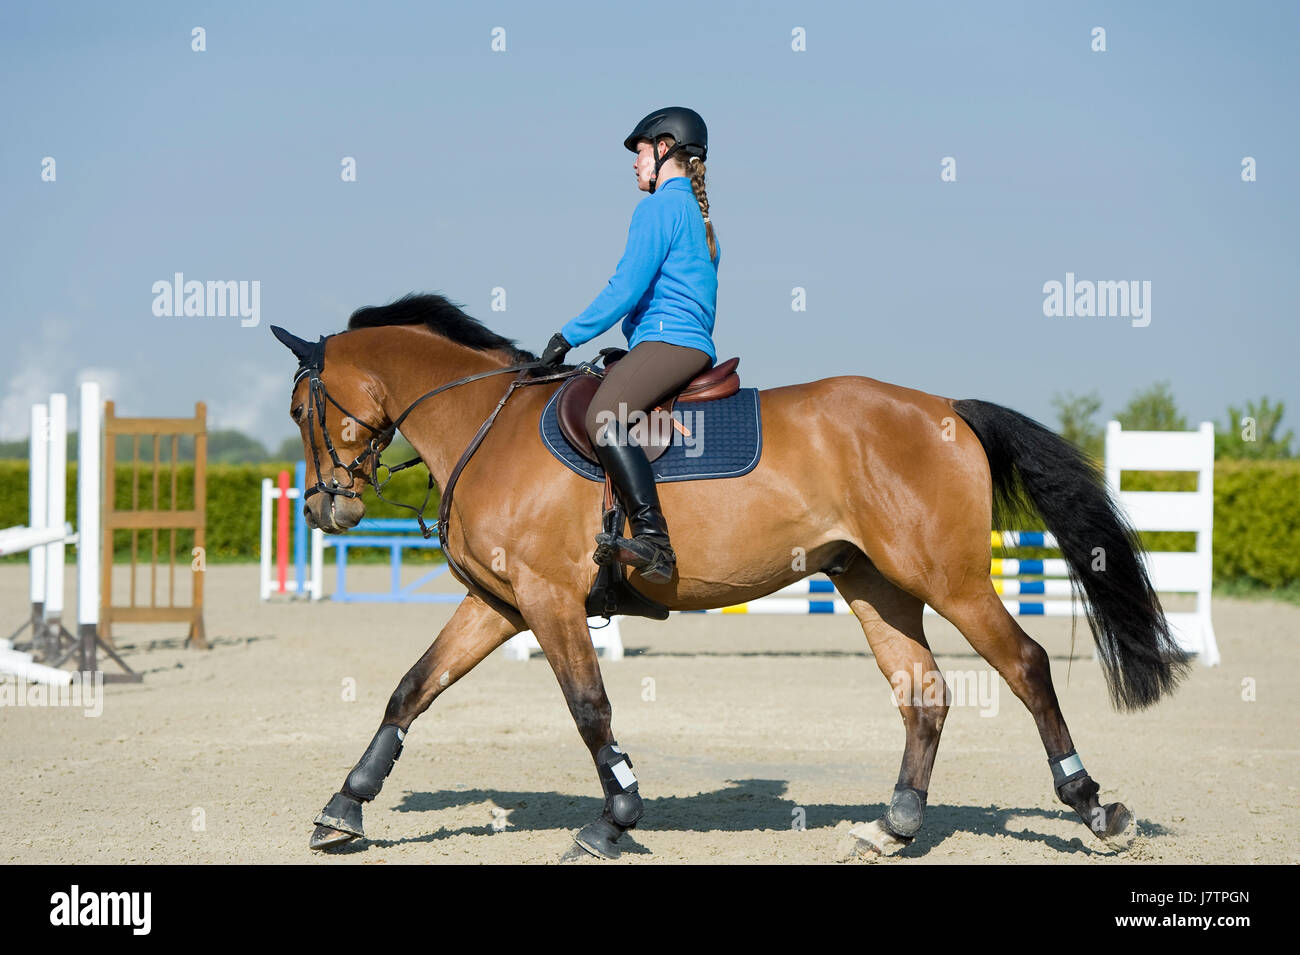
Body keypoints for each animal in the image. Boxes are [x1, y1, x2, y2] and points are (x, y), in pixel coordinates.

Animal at [272, 292, 1189, 860]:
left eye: (299, 408)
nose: (323, 508)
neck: (483, 420)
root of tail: (947, 409)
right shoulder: (498, 603)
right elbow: (411, 689)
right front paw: (344, 807)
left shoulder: (548, 600)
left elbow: (589, 708)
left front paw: (615, 821)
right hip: (876, 583)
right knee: (923, 692)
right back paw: (892, 826)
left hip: (949, 578)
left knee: (1025, 665)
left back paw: (1095, 807)